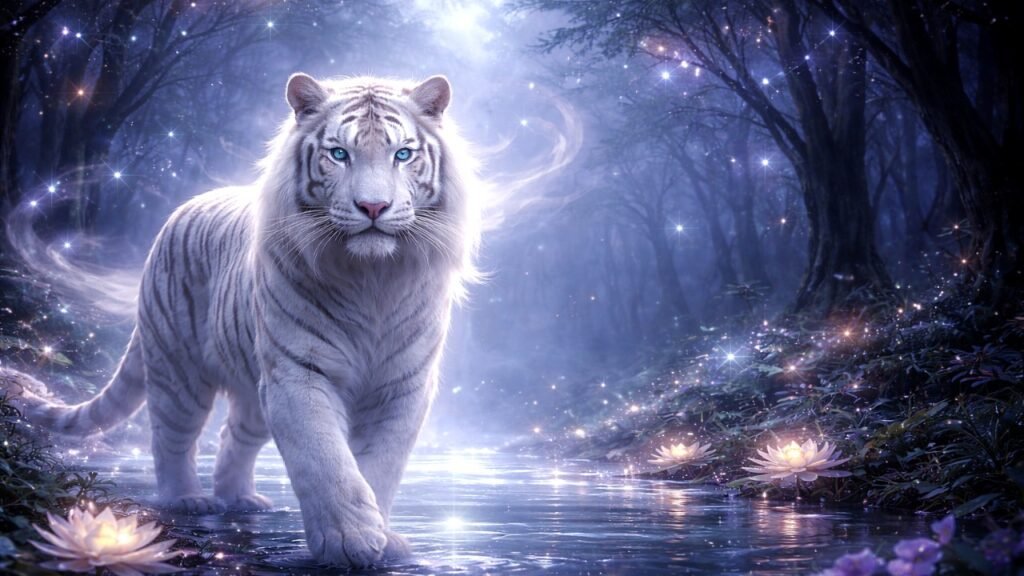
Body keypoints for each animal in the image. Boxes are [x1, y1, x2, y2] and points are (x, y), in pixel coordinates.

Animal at [0, 72, 481, 568]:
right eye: (339, 154)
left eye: (402, 154)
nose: (372, 207)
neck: (373, 279)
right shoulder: (298, 373)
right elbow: (324, 459)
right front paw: (348, 540)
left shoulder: (403, 384)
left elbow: (380, 466)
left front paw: (382, 539)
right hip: (179, 370)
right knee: (171, 437)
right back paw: (186, 499)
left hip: (251, 392)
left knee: (233, 436)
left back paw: (240, 499)